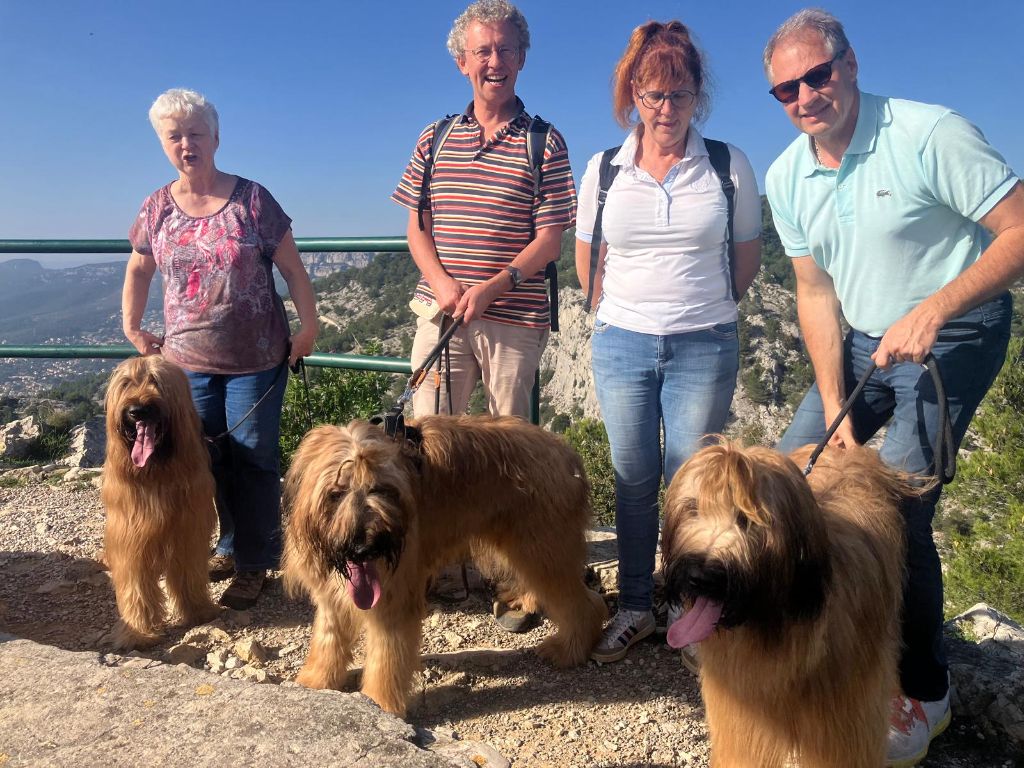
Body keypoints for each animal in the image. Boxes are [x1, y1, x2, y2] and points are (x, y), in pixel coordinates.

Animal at [101, 354, 218, 651]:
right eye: (127, 383)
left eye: (155, 381)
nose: (138, 411)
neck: (157, 472)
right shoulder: (130, 537)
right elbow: (136, 583)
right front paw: (138, 632)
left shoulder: (187, 531)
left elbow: (188, 570)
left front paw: (198, 611)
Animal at [282, 417, 606, 720]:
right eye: (336, 493)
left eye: (381, 489)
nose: (365, 548)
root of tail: (564, 451)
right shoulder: (330, 594)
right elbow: (328, 638)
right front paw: (314, 683)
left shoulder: (394, 597)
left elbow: (386, 659)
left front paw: (378, 704)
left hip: (542, 547)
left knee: (585, 604)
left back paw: (568, 649)